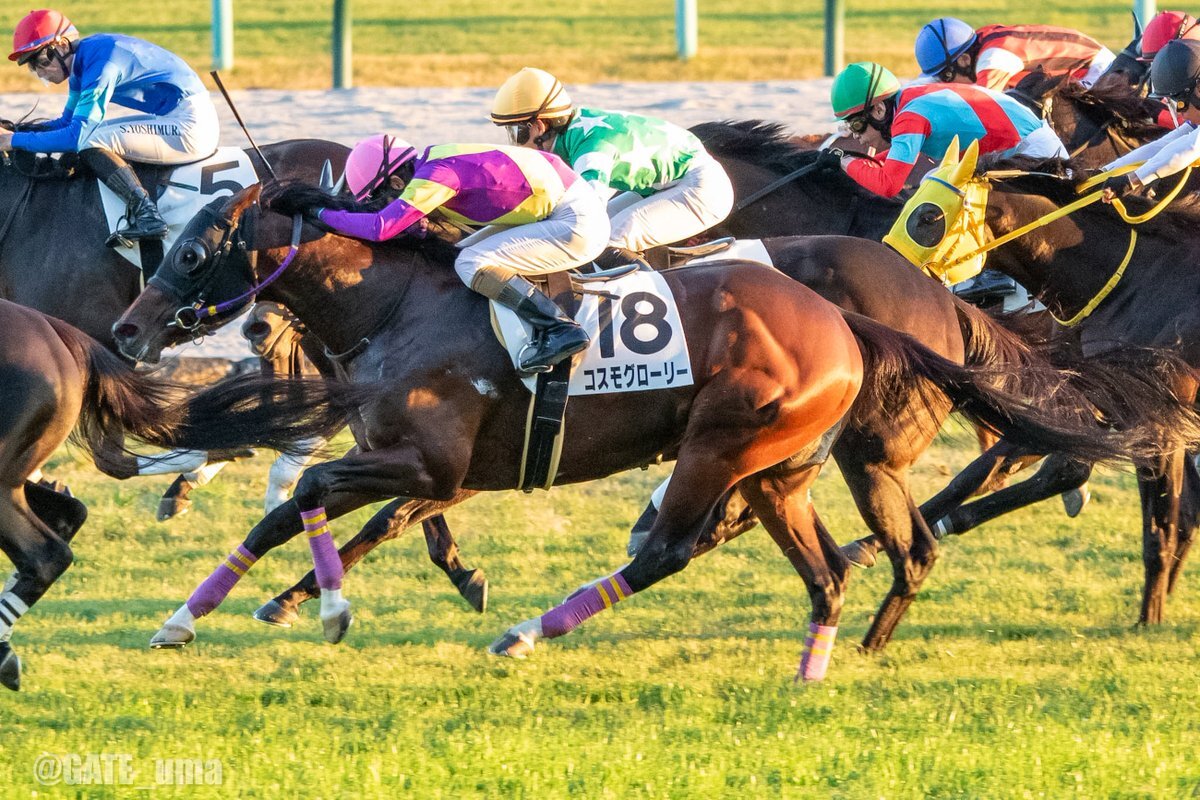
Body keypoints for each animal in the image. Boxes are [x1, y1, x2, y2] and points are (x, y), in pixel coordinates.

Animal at [109, 184, 1151, 679]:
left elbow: (319, 494)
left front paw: (324, 605)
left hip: (726, 444)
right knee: (840, 564)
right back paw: (824, 660)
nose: (124, 332)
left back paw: (529, 633)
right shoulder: (424, 466)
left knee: (675, 548)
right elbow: (294, 510)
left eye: (193, 250)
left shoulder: (431, 463)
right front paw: (187, 618)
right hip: (781, 468)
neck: (398, 301)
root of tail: (850, 317)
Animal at [895, 142, 1200, 625]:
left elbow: (1161, 520)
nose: (884, 264)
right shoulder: (1094, 396)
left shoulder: (1160, 413)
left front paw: (1149, 616)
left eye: (927, 216)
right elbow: (1002, 465)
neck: (1129, 281)